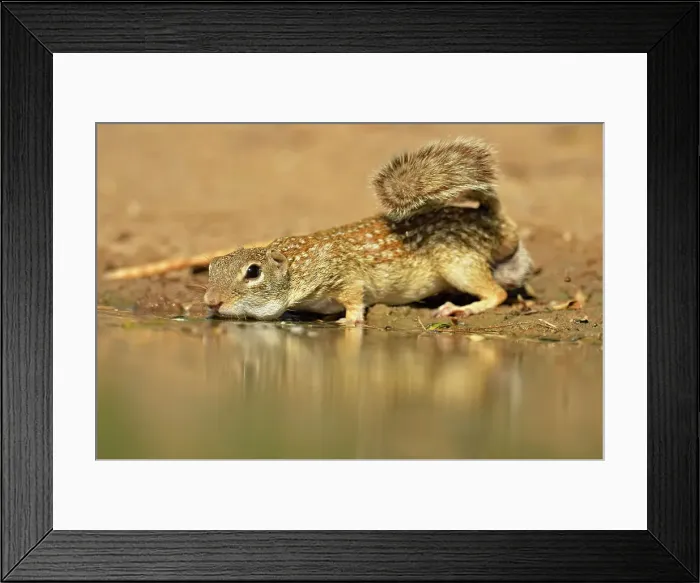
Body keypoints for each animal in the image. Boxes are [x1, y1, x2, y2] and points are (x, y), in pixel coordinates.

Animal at [204, 137, 534, 326]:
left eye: (253, 272)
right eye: (211, 266)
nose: (211, 302)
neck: (297, 264)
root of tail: (490, 219)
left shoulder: (344, 277)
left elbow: (354, 299)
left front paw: (349, 321)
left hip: (460, 266)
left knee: (498, 293)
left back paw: (461, 309)